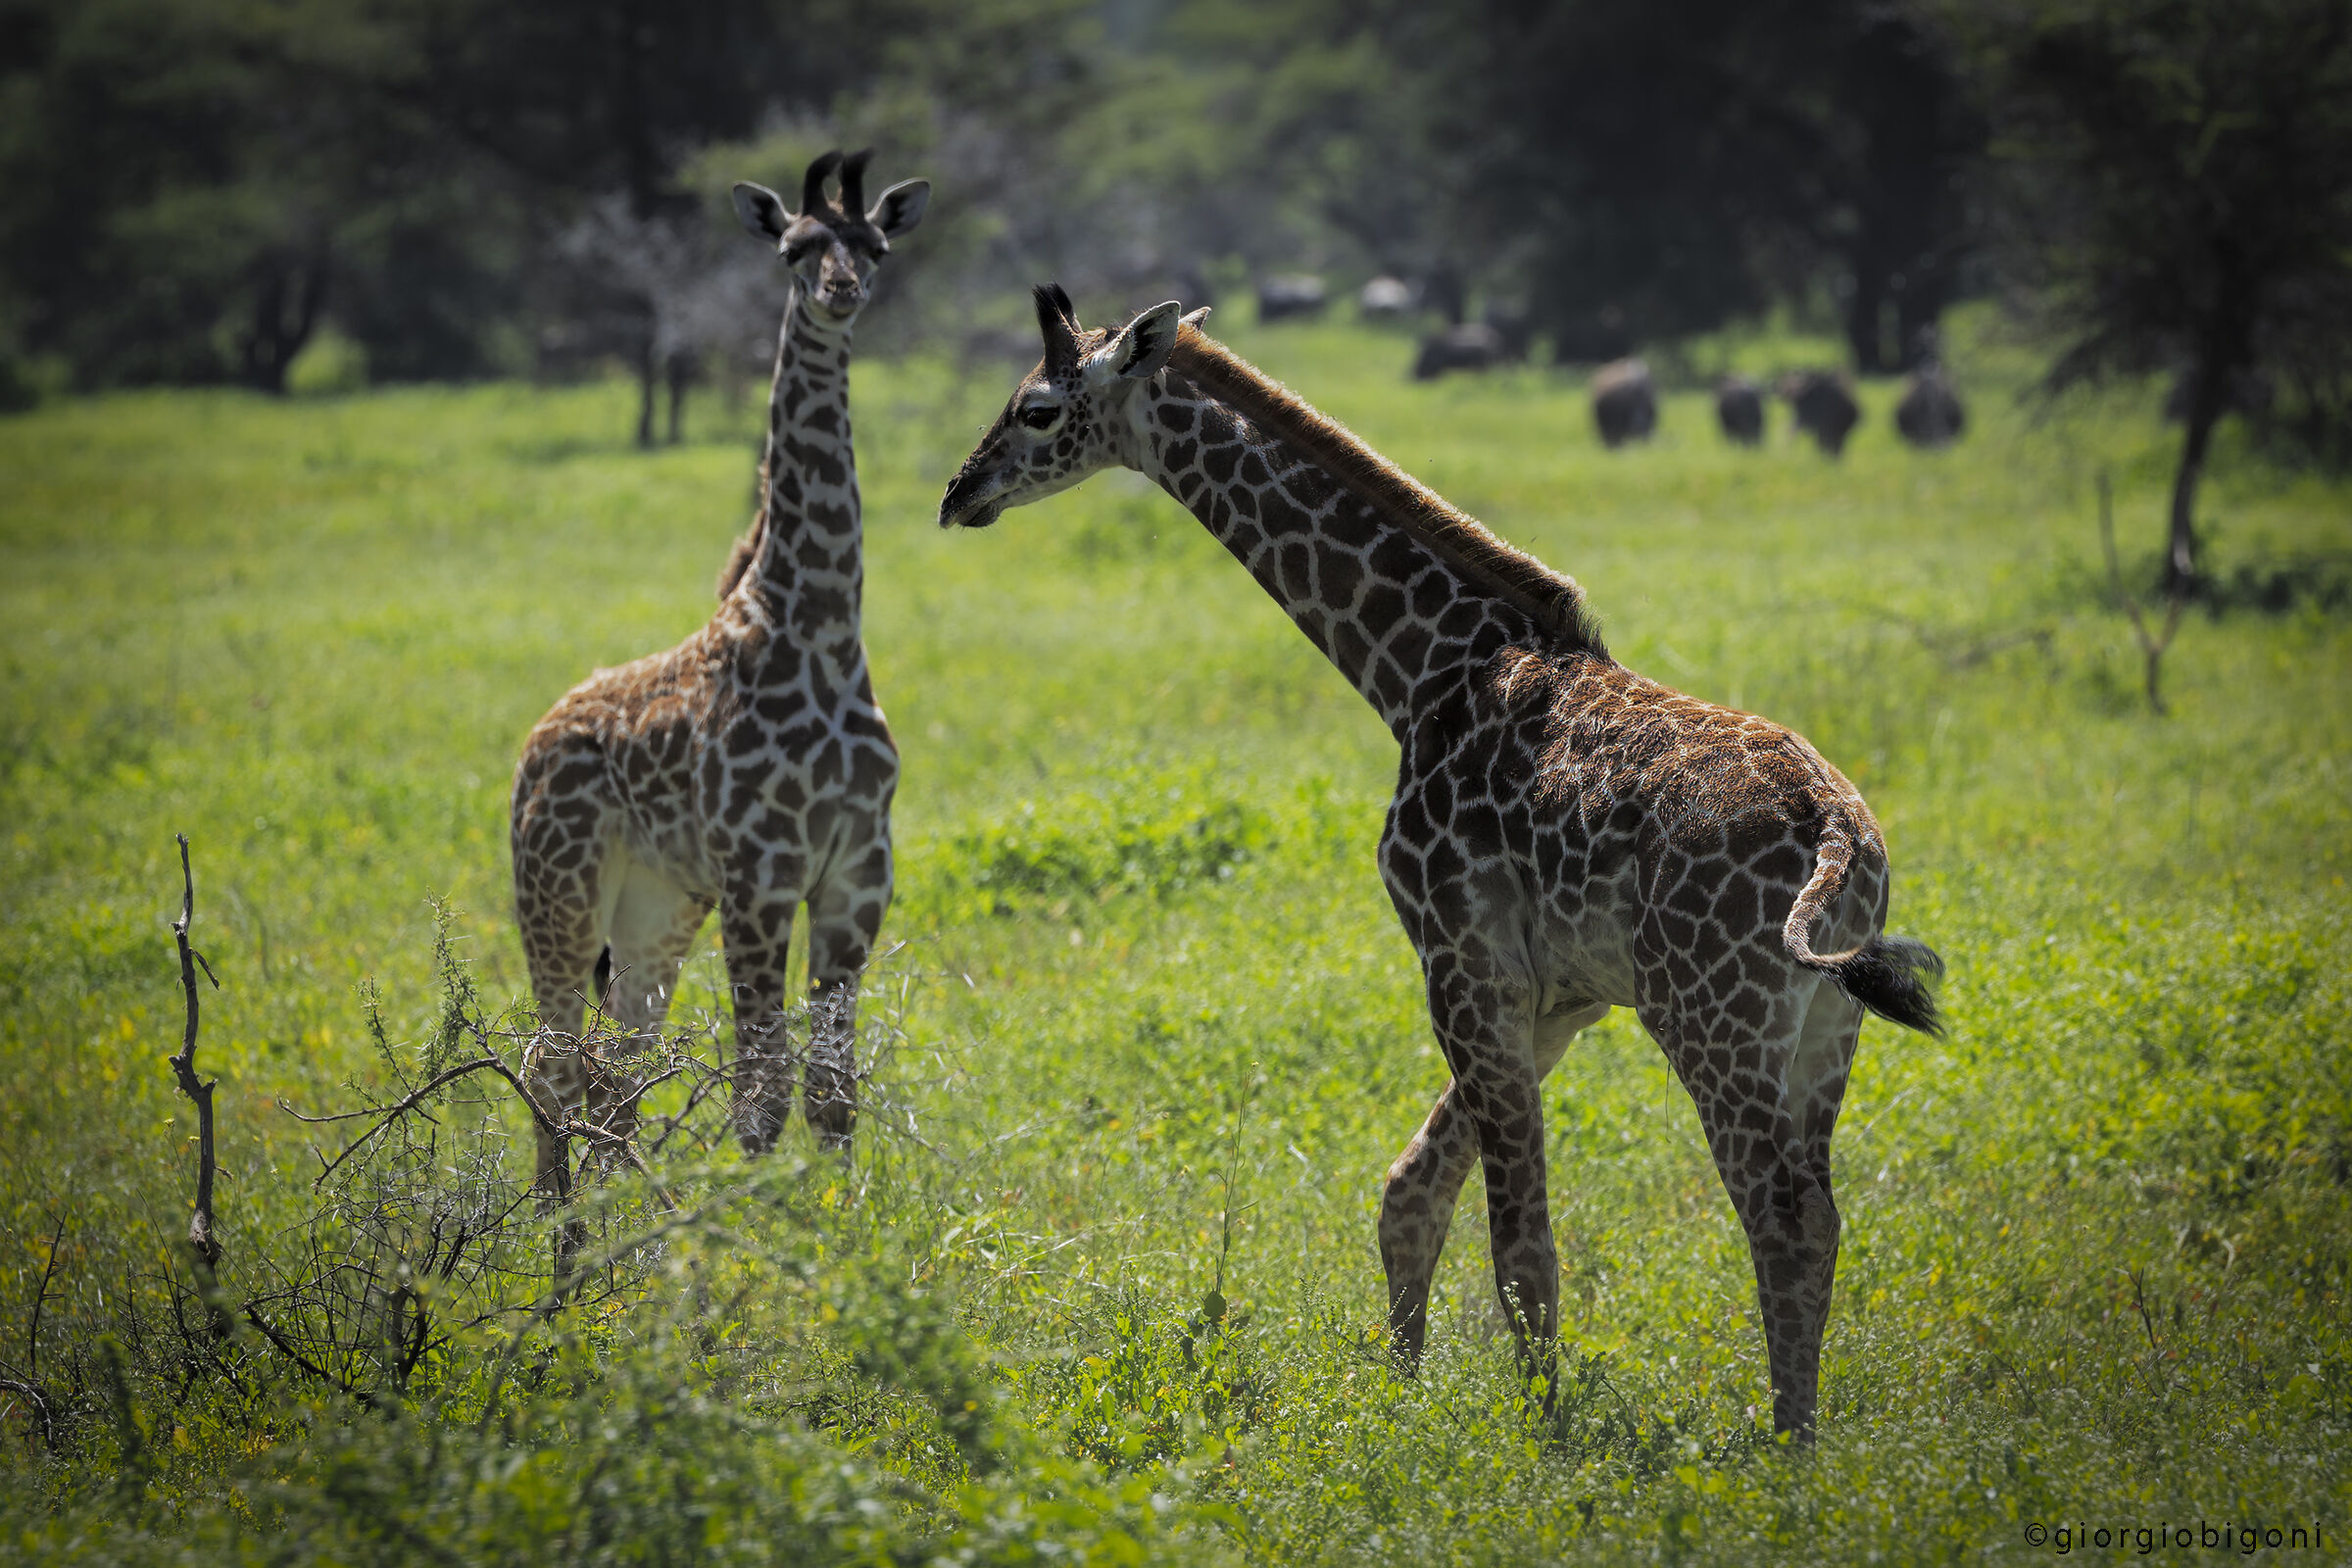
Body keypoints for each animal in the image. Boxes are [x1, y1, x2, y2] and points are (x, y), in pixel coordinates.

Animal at [509, 150, 928, 1218]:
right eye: (793, 248)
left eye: (874, 246)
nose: (840, 293)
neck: (817, 626)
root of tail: (533, 742)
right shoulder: (760, 874)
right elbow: (761, 1095)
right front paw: (758, 1237)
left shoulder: (857, 875)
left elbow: (831, 1093)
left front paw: (841, 1229)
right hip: (560, 890)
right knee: (552, 1058)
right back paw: (559, 1224)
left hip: (655, 908)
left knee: (619, 1063)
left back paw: (614, 1211)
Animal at [936, 287, 1944, 1437]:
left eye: (1037, 408)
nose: (958, 493)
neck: (1419, 668)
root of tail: (1836, 833)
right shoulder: (1558, 996)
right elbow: (1412, 1188)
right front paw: (1400, 1397)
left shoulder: (1461, 959)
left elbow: (1519, 1247)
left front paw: (1541, 1434)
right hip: (1825, 1027)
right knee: (1819, 1217)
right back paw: (1799, 1432)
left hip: (1712, 1018)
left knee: (1777, 1215)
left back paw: (1786, 1444)